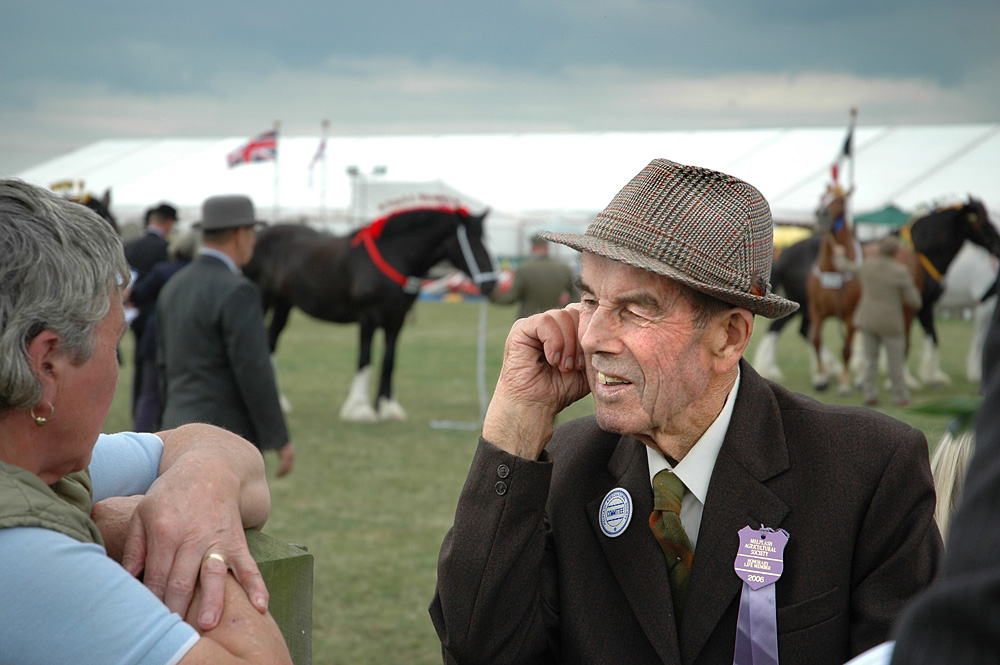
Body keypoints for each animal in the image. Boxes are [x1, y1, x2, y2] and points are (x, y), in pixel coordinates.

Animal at [240, 206, 494, 420]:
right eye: (472, 241)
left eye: (485, 239)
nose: (491, 284)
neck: (393, 254)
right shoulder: (368, 318)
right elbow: (365, 358)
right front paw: (359, 409)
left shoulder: (396, 320)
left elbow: (389, 360)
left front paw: (387, 408)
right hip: (262, 300)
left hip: (283, 305)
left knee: (271, 342)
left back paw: (280, 403)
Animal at [756, 197, 1000, 384]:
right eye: (983, 220)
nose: (997, 245)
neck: (920, 253)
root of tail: (786, 252)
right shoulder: (921, 305)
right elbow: (927, 338)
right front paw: (918, 376)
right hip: (806, 303)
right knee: (793, 330)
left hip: (805, 305)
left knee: (798, 331)